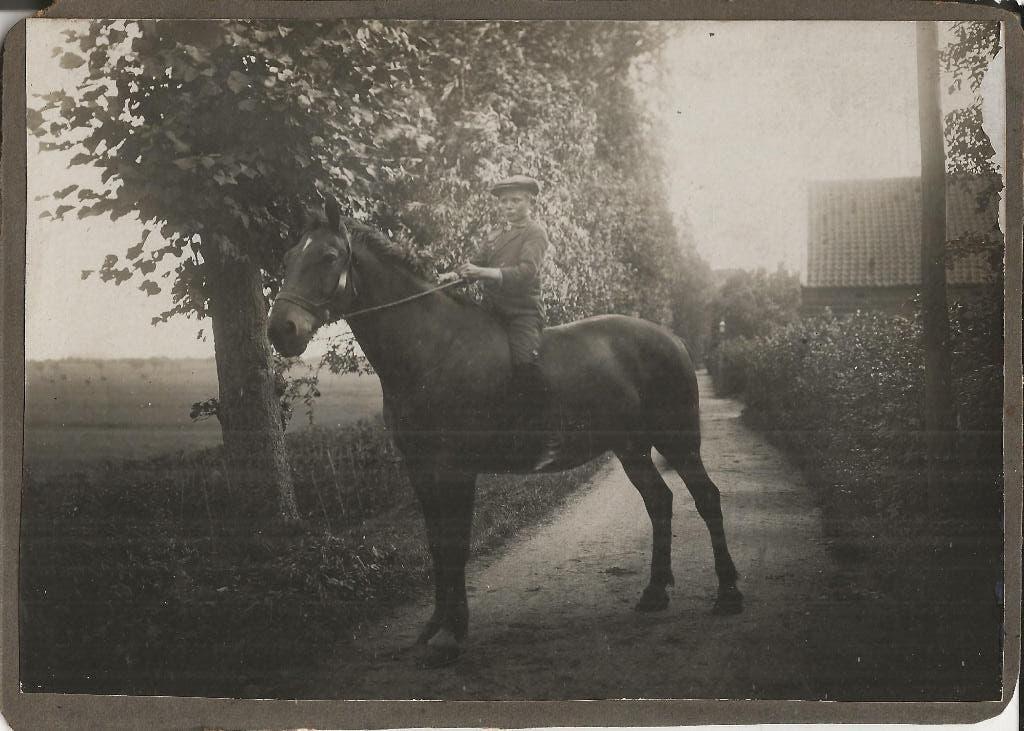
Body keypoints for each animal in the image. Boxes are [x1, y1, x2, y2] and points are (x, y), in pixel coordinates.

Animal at [267, 198, 743, 667]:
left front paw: (453, 633)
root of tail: (672, 339)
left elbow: (456, 544)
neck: (434, 348)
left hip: (678, 441)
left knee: (706, 498)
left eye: (329, 256)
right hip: (631, 449)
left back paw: (728, 595)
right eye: (288, 258)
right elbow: (436, 544)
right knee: (659, 501)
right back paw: (654, 593)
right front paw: (434, 625)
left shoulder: (457, 470)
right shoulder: (420, 469)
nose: (280, 330)